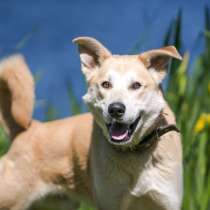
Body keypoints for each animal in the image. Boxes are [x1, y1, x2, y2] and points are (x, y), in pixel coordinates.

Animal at [0, 37, 182, 210]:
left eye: (136, 85)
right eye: (106, 84)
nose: (115, 109)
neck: (134, 153)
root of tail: (28, 130)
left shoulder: (166, 202)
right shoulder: (110, 203)